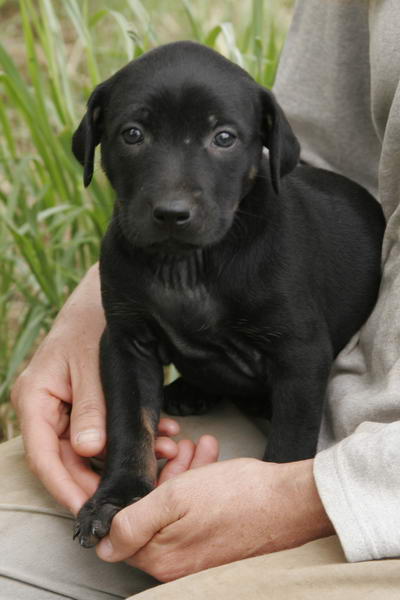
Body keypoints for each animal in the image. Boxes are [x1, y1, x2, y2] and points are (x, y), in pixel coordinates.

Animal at [71, 41, 384, 548]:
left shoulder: (300, 352)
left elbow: (290, 441)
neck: (188, 266)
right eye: (133, 134)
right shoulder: (125, 341)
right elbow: (129, 424)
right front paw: (117, 496)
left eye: (224, 138)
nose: (172, 213)